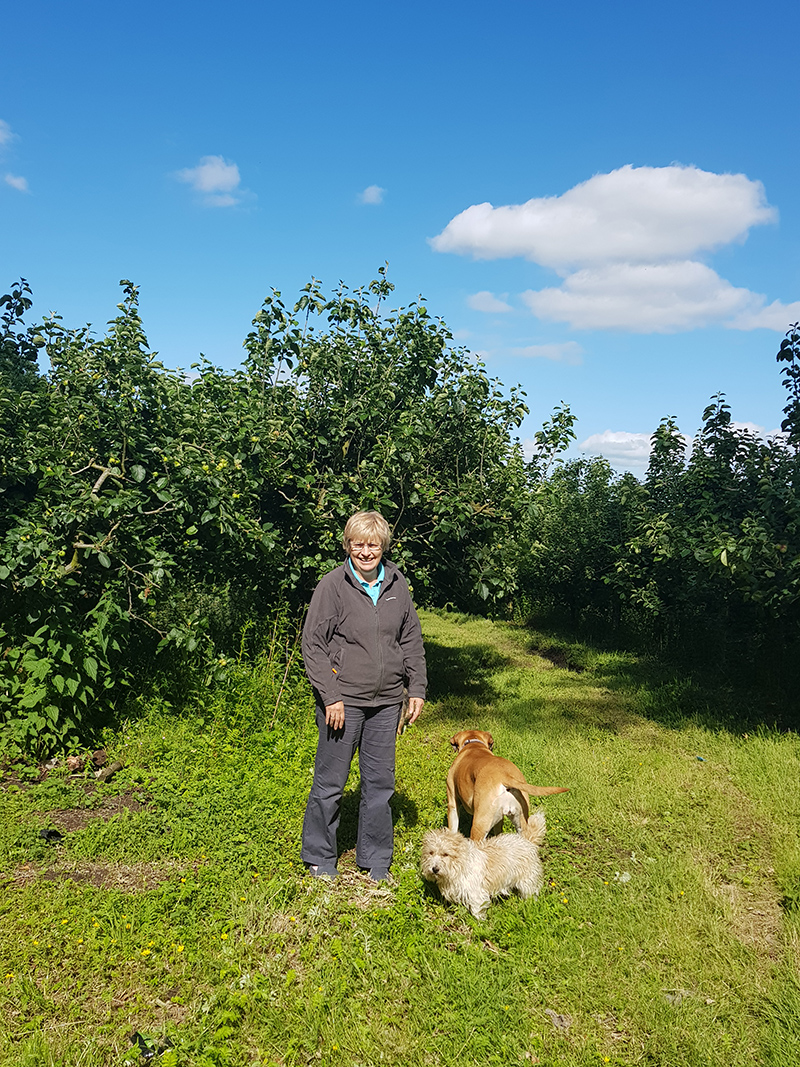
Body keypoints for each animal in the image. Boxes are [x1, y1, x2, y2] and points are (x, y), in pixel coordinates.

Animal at [416, 806, 550, 917]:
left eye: (445, 854)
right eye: (431, 852)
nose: (434, 869)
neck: (458, 866)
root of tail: (527, 840)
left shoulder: (476, 894)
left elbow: (477, 911)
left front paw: (480, 923)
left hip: (527, 880)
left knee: (531, 893)